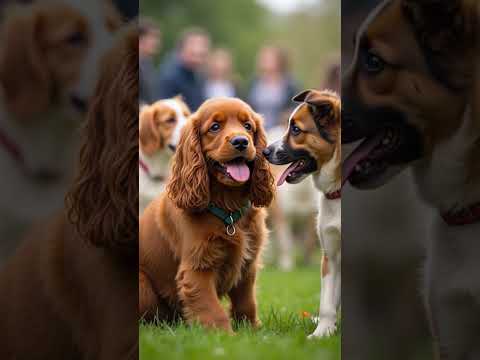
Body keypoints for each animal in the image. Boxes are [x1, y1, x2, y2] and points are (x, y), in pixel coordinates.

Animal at [139, 97, 274, 332]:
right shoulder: (197, 267)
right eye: (215, 127)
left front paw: (252, 330)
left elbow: (246, 302)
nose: (241, 141)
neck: (227, 206)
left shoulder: (248, 266)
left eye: (248, 126)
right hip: (143, 285)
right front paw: (224, 335)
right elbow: (210, 307)